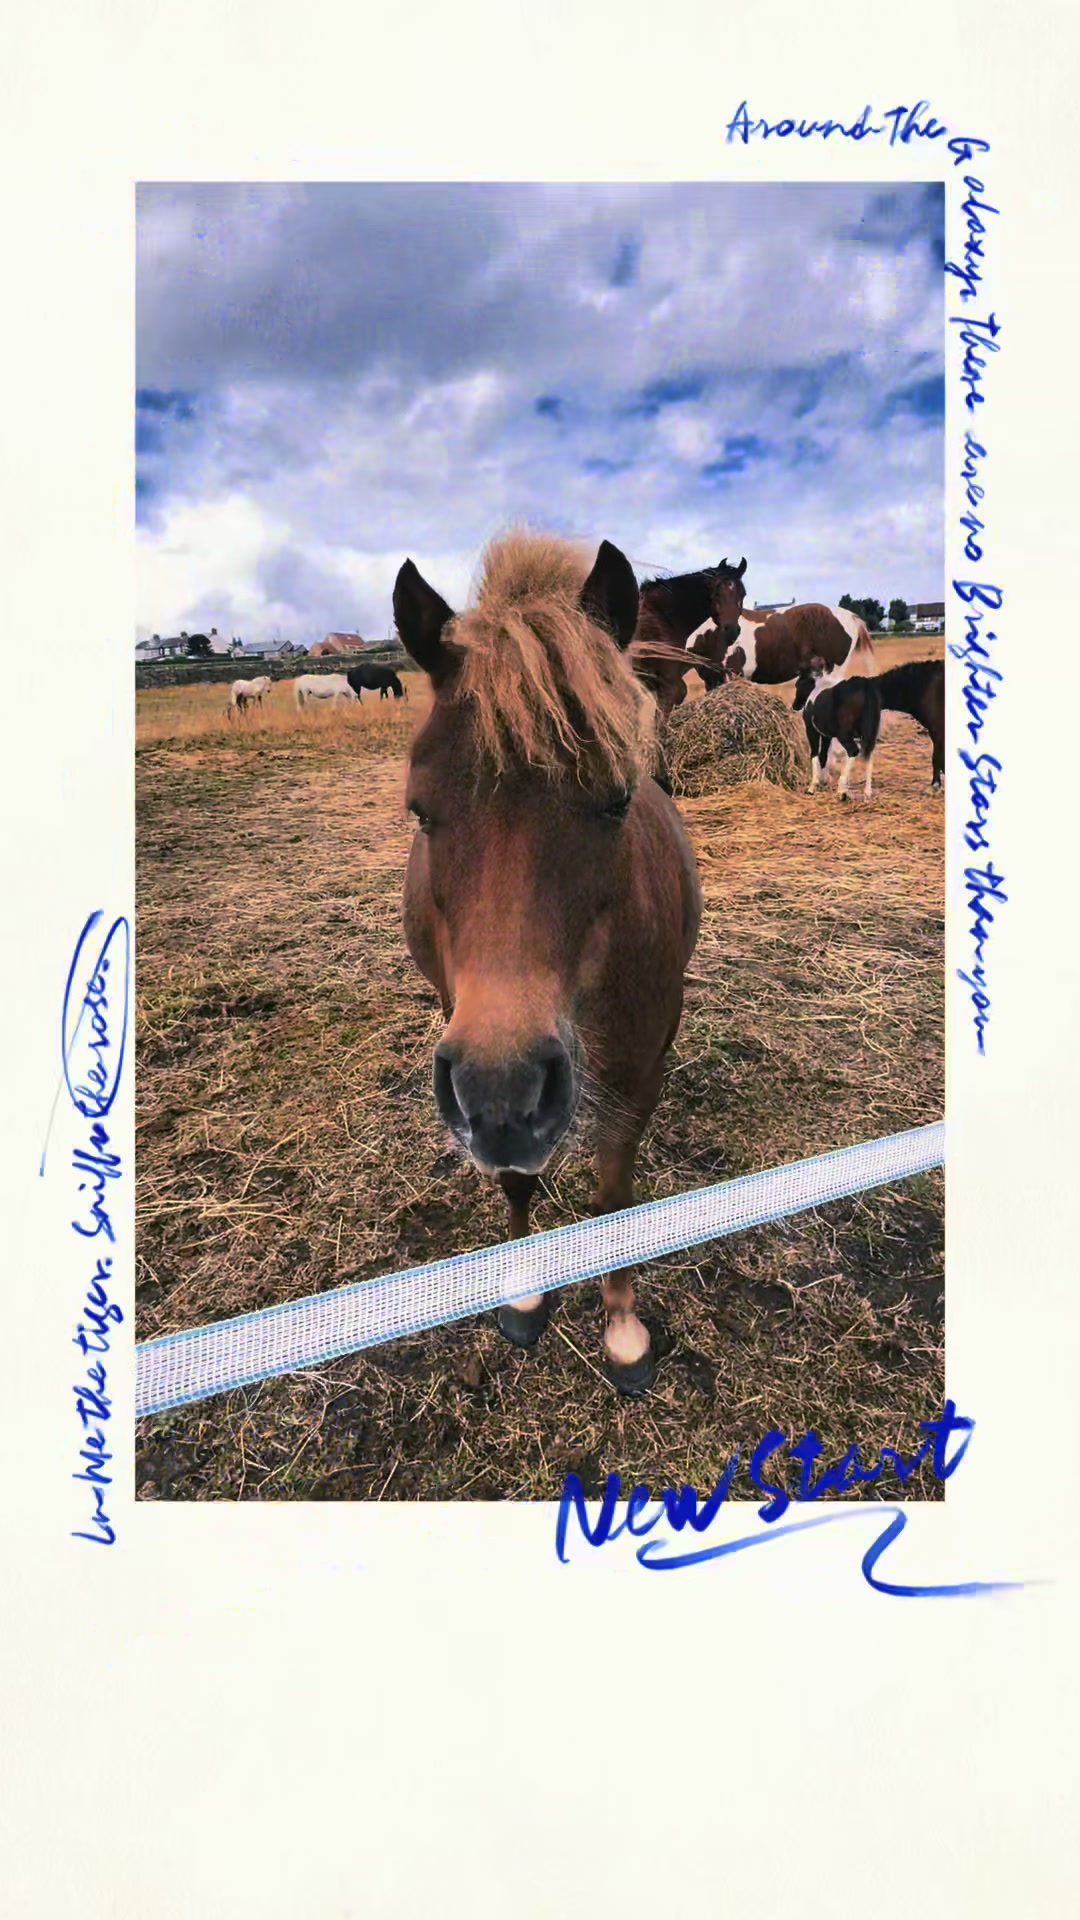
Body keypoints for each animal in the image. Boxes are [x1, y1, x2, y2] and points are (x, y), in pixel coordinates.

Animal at [393, 531, 702, 1395]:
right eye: (419, 811)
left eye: (617, 800)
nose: (505, 1093)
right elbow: (515, 1177)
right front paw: (528, 1293)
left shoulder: (636, 1069)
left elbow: (615, 1198)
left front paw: (624, 1329)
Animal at [793, 664, 882, 800]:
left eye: (798, 684)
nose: (794, 706)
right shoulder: (826, 735)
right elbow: (823, 755)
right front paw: (823, 781)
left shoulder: (811, 730)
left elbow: (814, 754)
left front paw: (813, 786)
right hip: (867, 734)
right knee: (868, 755)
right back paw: (867, 793)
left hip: (844, 735)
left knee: (853, 751)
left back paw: (842, 791)